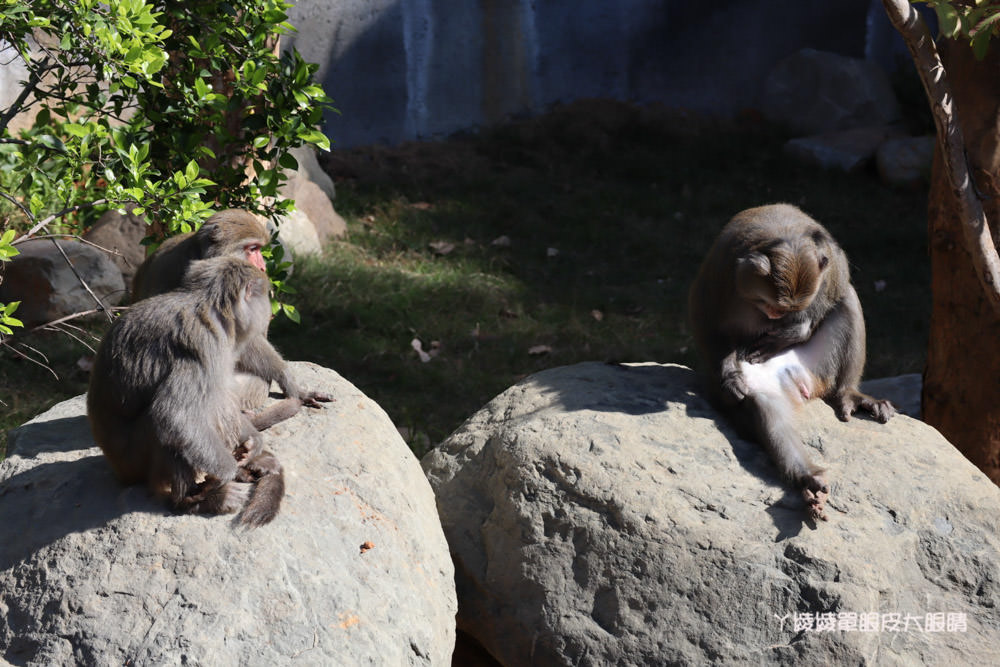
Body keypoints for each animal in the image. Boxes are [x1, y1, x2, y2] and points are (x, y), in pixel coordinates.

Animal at [88, 256, 330, 528]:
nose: (267, 309)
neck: (210, 309)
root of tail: (118, 469)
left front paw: (288, 392)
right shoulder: (201, 346)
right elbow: (175, 416)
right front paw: (230, 472)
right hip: (135, 461)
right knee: (166, 421)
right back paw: (192, 500)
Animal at [688, 204, 900, 520]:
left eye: (784, 308)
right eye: (768, 304)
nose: (778, 317)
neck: (782, 236)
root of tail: (802, 385)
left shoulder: (829, 253)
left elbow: (839, 283)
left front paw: (796, 329)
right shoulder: (722, 266)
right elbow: (704, 315)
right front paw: (728, 376)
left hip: (820, 365)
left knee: (846, 298)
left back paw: (848, 393)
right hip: (763, 386)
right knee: (767, 413)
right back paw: (807, 476)